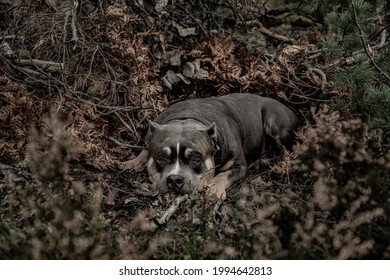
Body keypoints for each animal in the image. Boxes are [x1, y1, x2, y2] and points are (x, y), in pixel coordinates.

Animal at [125, 94, 298, 201]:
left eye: (196, 158)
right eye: (162, 157)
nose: (175, 179)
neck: (186, 117)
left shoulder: (239, 166)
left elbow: (224, 175)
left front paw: (214, 188)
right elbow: (146, 148)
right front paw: (134, 161)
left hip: (273, 122)